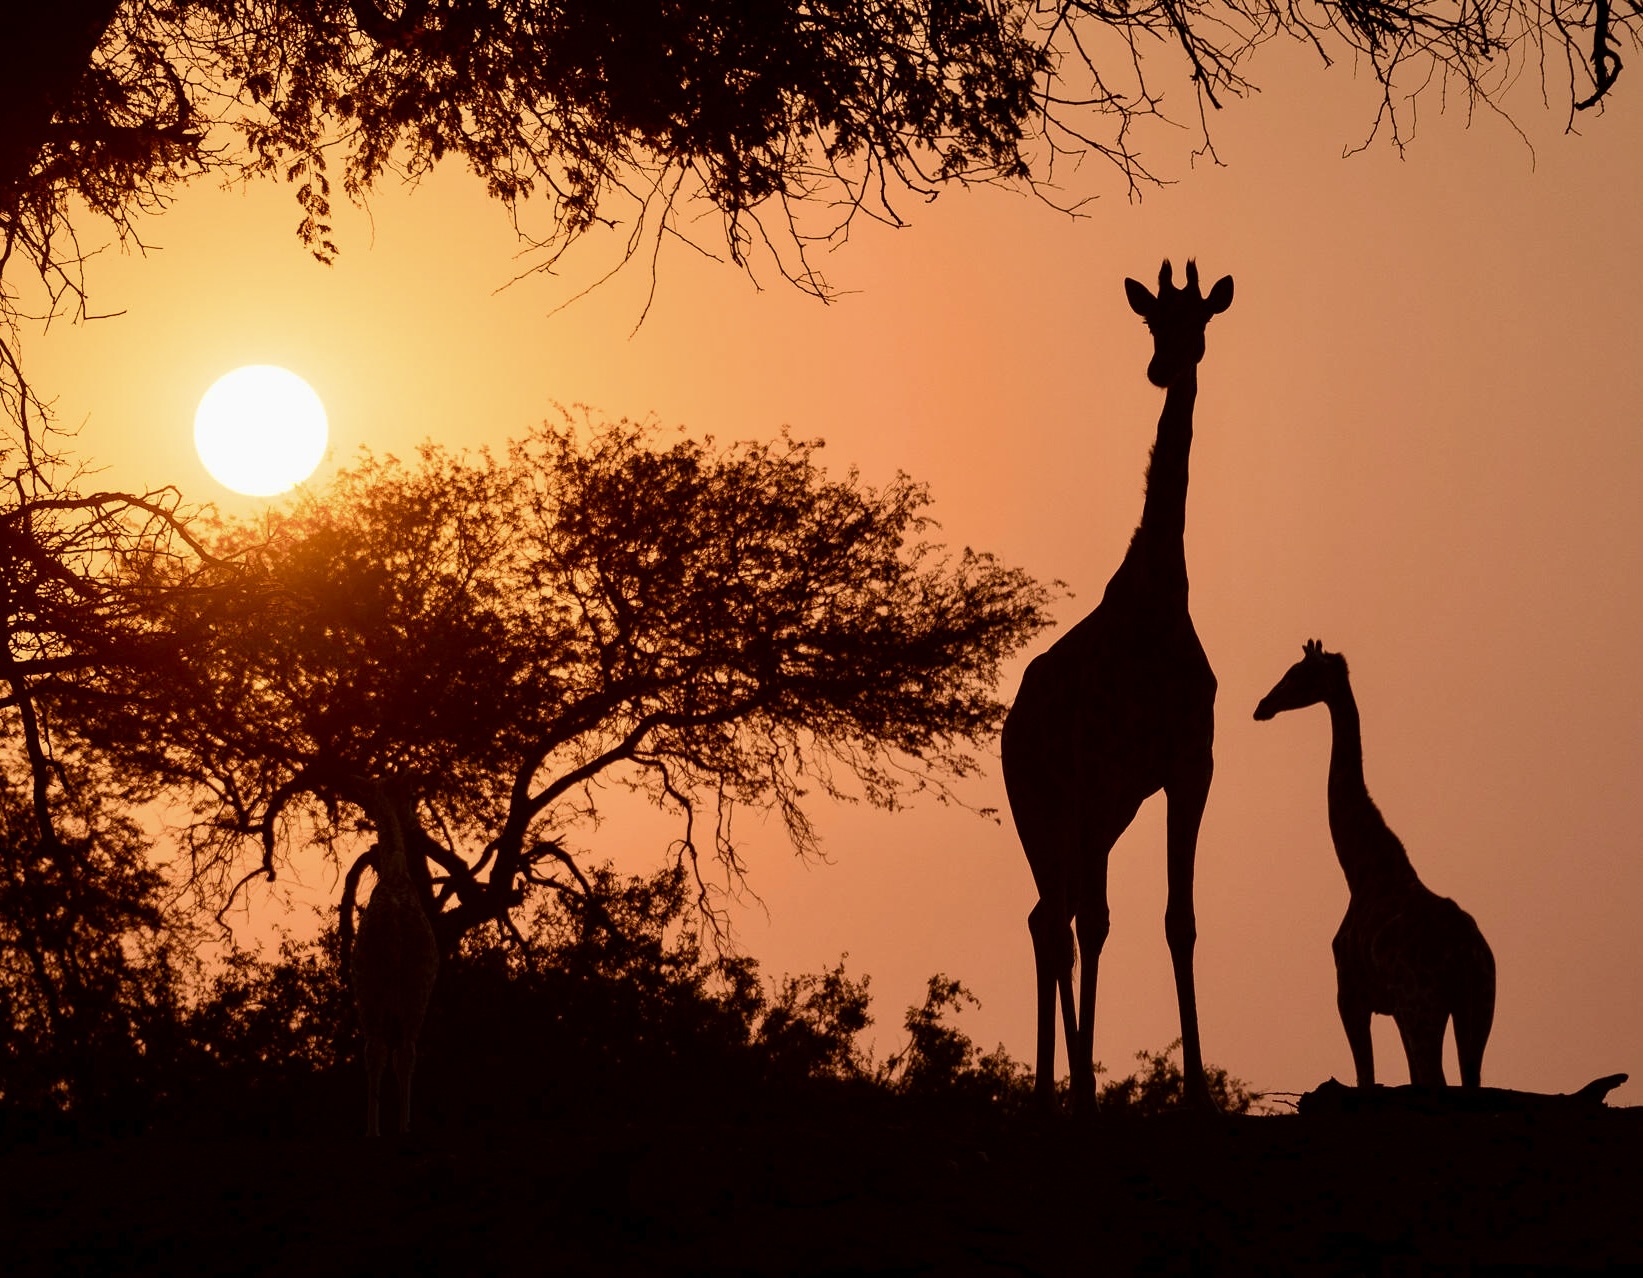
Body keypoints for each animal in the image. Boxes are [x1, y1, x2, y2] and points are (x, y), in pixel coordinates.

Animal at [351, 785, 443, 1136]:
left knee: (376, 1050)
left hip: (372, 989)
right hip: (416, 989)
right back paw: (404, 1128)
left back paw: (374, 1130)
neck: (395, 873)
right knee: (405, 1051)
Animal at [998, 256, 1235, 1103]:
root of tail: (1008, 729)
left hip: (1097, 813)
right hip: (1044, 805)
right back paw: (1055, 1088)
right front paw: (1129, 1089)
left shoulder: (1187, 766)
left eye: (1198, 319)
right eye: (1148, 320)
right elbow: (1134, 921)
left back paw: (1063, 1084)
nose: (1164, 366)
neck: (1160, 595)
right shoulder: (1132, 772)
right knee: (1053, 917)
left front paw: (1194, 1089)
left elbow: (1176, 919)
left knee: (1059, 914)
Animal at [1248, 637, 1498, 1084]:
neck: (1361, 869)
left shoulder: (1350, 994)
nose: (1262, 705)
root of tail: (1468, 954)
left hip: (1425, 1006)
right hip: (1477, 1007)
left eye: (1296, 673)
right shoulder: (1393, 1008)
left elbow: (1367, 1077)